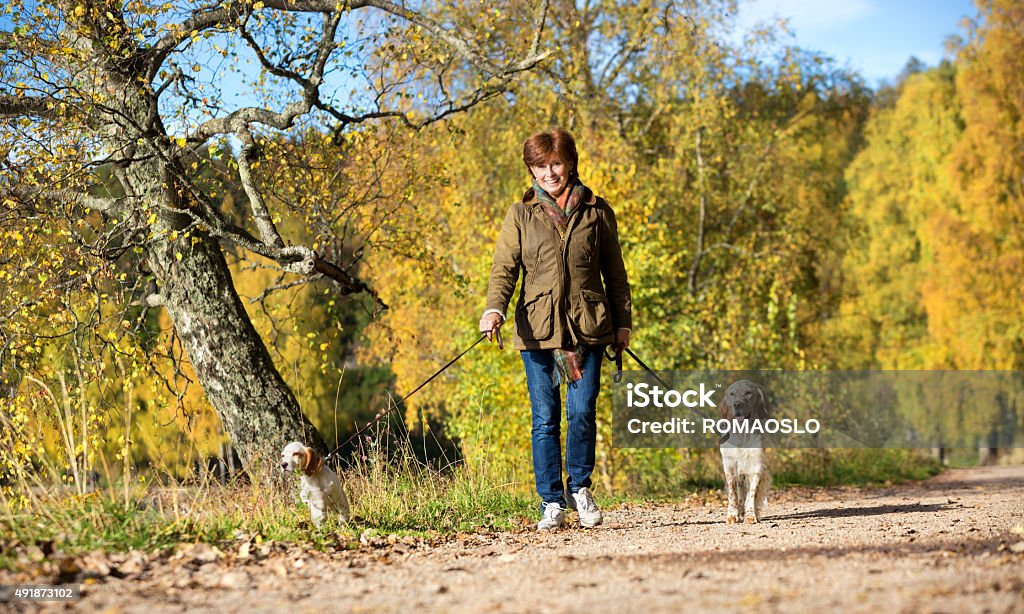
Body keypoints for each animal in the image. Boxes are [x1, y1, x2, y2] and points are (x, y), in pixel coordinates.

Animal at [720, 380, 770, 523]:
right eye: (732, 393)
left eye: (749, 392)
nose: (737, 404)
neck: (743, 432)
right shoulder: (729, 463)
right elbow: (732, 492)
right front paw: (732, 515)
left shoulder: (756, 464)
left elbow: (752, 493)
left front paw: (751, 515)